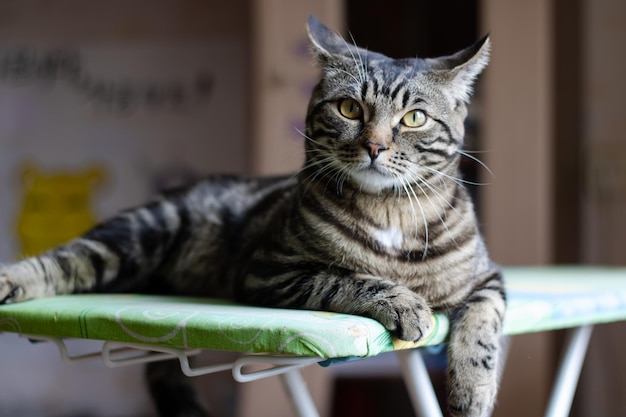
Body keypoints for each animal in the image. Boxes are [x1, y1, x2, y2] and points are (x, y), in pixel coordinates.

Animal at [0, 16, 504, 416]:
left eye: (415, 118)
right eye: (348, 108)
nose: (375, 146)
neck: (390, 212)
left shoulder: (488, 278)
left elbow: (483, 328)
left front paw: (473, 394)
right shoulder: (271, 270)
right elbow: (348, 278)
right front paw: (404, 302)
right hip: (142, 231)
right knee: (69, 259)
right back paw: (12, 280)